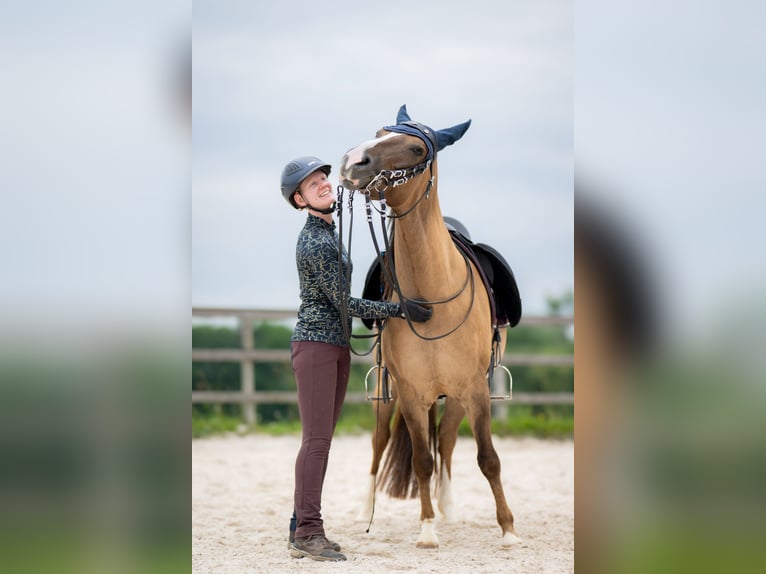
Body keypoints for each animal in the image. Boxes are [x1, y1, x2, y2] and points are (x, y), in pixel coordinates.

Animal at [340, 106, 520, 552]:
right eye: (378, 133)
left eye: (417, 148)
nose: (352, 162)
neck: (432, 293)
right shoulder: (410, 393)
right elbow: (421, 459)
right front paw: (425, 529)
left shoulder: (474, 389)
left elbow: (487, 458)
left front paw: (508, 529)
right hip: (386, 395)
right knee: (379, 445)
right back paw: (366, 511)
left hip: (455, 398)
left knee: (448, 442)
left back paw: (449, 507)